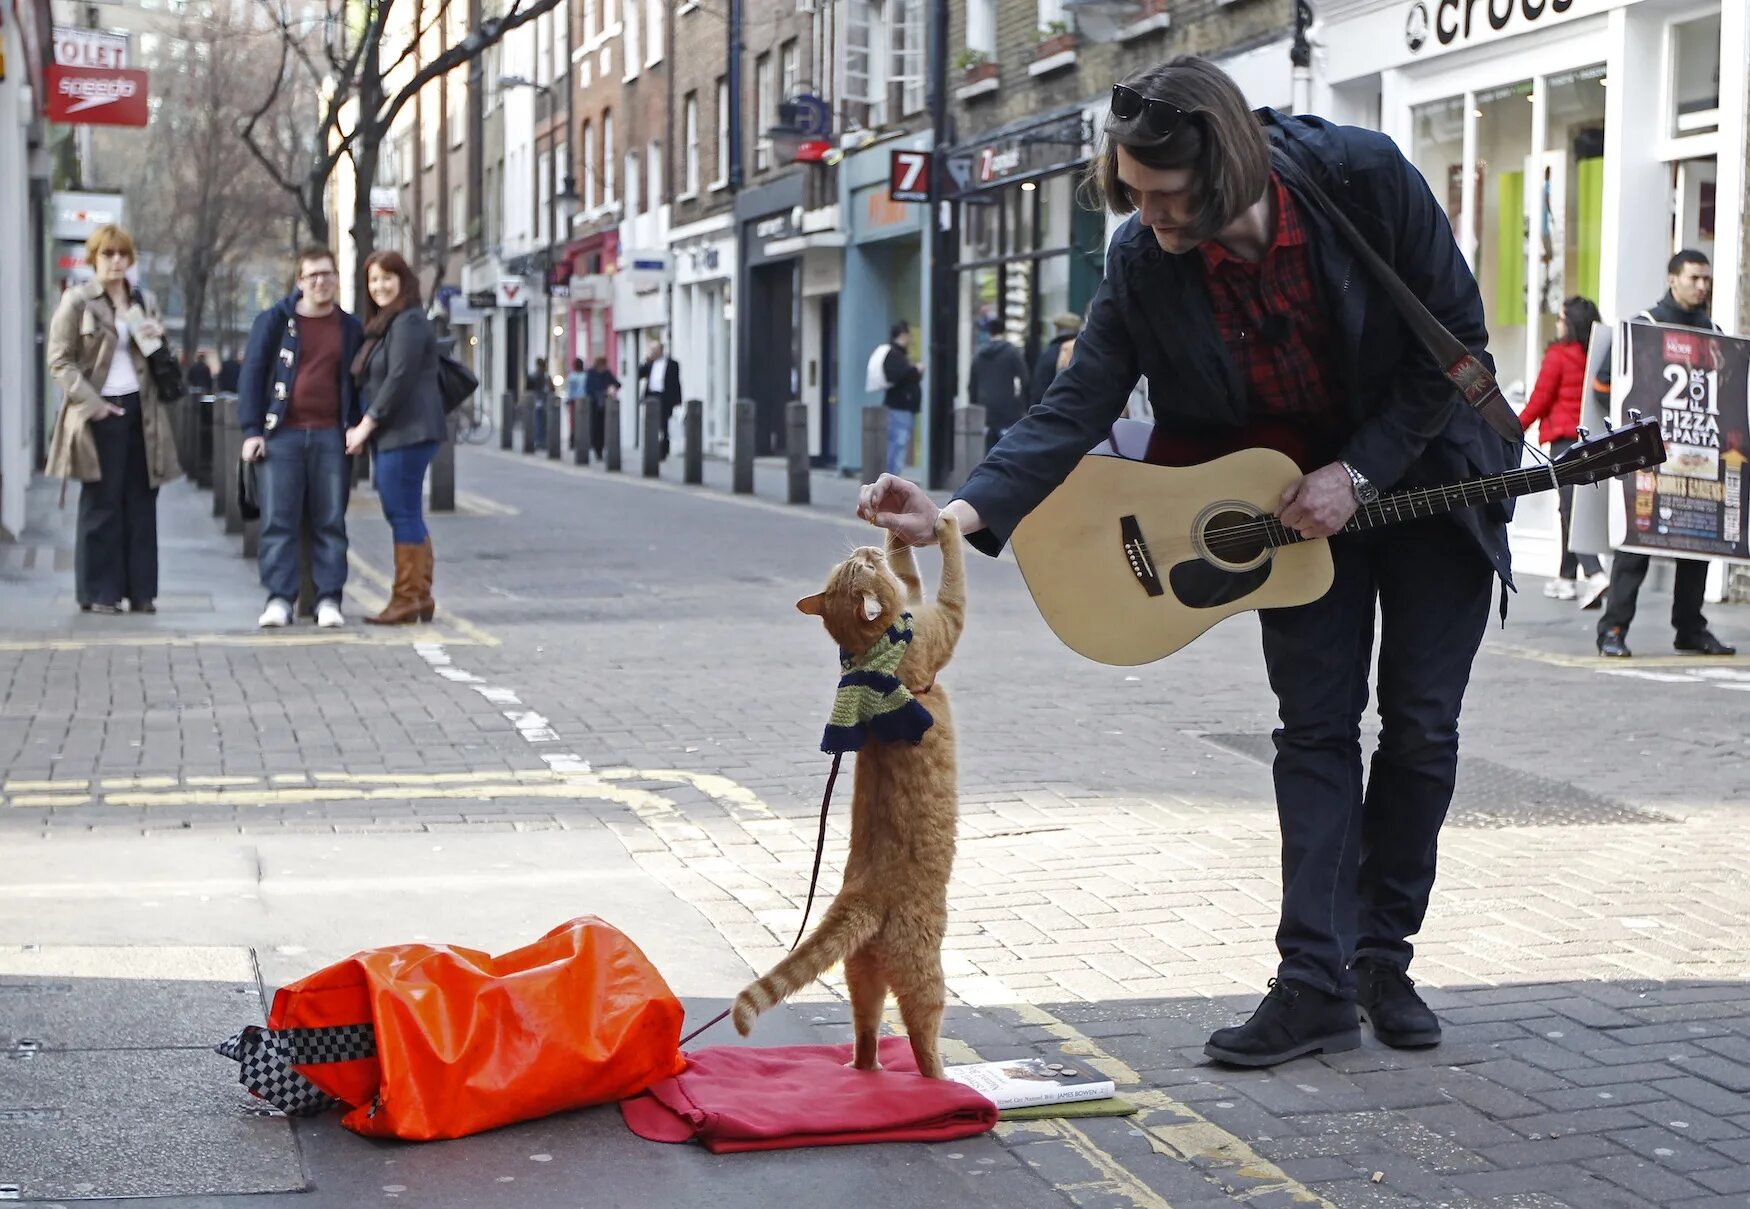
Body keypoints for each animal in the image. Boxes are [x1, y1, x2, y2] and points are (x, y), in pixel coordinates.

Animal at [728, 514, 973, 1084]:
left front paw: (900, 528)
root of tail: (862, 894)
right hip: (926, 978)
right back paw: (946, 1081)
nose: (864, 547)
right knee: (923, 1040)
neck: (873, 654)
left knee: (865, 1033)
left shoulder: (917, 598)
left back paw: (866, 1070)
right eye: (860, 567)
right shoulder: (946, 620)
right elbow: (951, 574)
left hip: (861, 976)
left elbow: (912, 572)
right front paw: (946, 522)